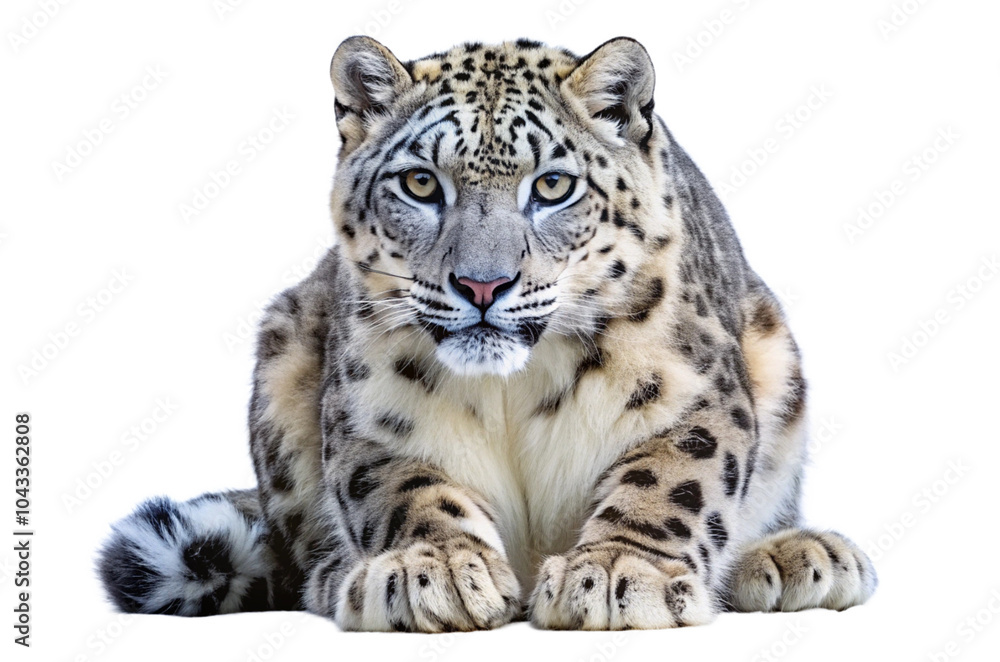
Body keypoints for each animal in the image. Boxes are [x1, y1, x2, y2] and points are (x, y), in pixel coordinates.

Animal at [97, 36, 877, 631]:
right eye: (419, 183)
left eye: (553, 186)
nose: (481, 285)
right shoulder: (367, 406)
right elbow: (402, 486)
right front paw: (436, 571)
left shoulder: (697, 386)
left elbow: (670, 478)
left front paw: (619, 570)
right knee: (298, 557)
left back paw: (794, 556)